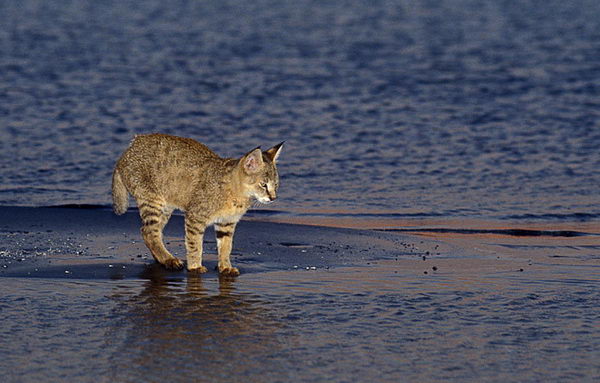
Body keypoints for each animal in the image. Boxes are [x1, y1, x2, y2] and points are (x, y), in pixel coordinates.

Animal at [110, 134, 284, 276]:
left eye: (276, 184)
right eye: (263, 185)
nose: (273, 197)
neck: (237, 195)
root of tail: (130, 147)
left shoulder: (227, 223)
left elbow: (226, 246)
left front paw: (225, 266)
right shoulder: (195, 217)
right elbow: (194, 243)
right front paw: (194, 266)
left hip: (165, 207)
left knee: (150, 231)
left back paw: (162, 258)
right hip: (154, 201)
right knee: (148, 231)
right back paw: (168, 260)